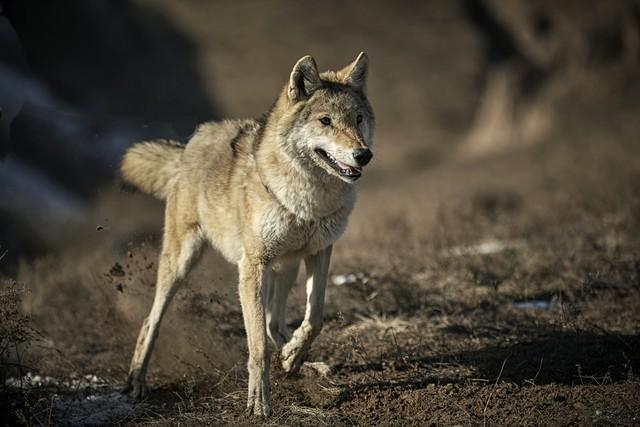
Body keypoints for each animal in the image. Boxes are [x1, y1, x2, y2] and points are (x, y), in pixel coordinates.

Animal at [120, 51, 376, 416]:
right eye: (325, 121)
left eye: (357, 119)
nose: (363, 155)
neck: (308, 199)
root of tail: (189, 144)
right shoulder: (253, 265)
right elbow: (257, 346)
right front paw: (259, 399)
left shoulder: (320, 252)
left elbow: (315, 317)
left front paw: (294, 357)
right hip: (182, 262)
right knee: (150, 320)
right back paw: (136, 381)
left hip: (286, 266)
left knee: (274, 323)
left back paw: (301, 363)